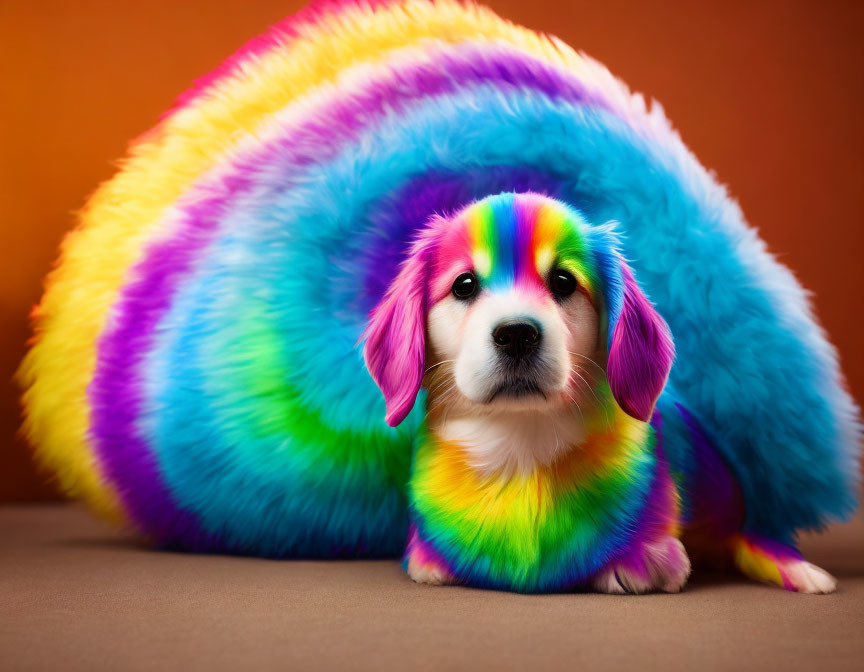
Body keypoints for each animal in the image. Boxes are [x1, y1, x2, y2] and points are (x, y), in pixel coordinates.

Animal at [362, 193, 836, 592]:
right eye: (464, 285)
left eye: (563, 281)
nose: (516, 334)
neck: (521, 446)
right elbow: (427, 562)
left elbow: (659, 561)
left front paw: (635, 561)